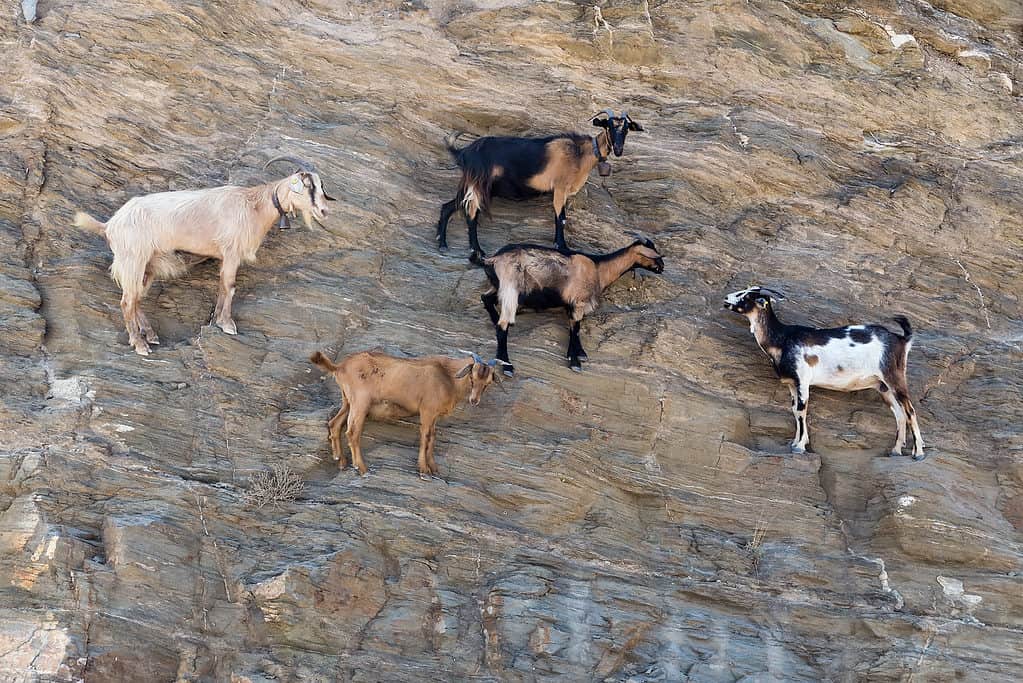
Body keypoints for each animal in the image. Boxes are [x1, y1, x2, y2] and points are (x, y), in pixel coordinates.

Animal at [73, 156, 335, 355]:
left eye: (320, 187)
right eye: (308, 186)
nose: (324, 211)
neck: (253, 206)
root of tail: (109, 225)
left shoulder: (226, 255)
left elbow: (221, 286)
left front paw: (217, 319)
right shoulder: (231, 251)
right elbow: (230, 286)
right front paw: (227, 324)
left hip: (147, 263)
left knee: (136, 298)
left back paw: (150, 335)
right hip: (133, 258)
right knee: (127, 301)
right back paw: (140, 345)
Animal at [435, 110, 642, 263]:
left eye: (626, 129)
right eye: (609, 125)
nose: (618, 149)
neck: (579, 154)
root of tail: (464, 152)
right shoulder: (559, 188)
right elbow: (561, 218)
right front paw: (563, 247)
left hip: (474, 186)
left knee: (449, 206)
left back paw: (442, 243)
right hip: (479, 184)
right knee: (471, 213)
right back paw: (477, 252)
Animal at [478, 235, 662, 374]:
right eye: (653, 254)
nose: (662, 267)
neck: (599, 268)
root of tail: (493, 259)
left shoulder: (571, 305)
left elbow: (575, 328)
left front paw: (578, 353)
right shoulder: (578, 301)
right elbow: (575, 329)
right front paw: (575, 362)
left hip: (499, 287)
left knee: (486, 298)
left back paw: (494, 320)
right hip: (510, 289)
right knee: (502, 325)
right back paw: (507, 365)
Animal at [720, 282, 928, 458]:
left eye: (747, 296)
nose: (726, 298)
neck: (782, 338)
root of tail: (902, 340)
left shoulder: (802, 380)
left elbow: (802, 410)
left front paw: (799, 447)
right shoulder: (792, 384)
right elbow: (795, 410)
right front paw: (796, 442)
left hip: (894, 377)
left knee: (910, 410)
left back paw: (918, 453)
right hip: (882, 386)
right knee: (899, 414)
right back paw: (896, 450)